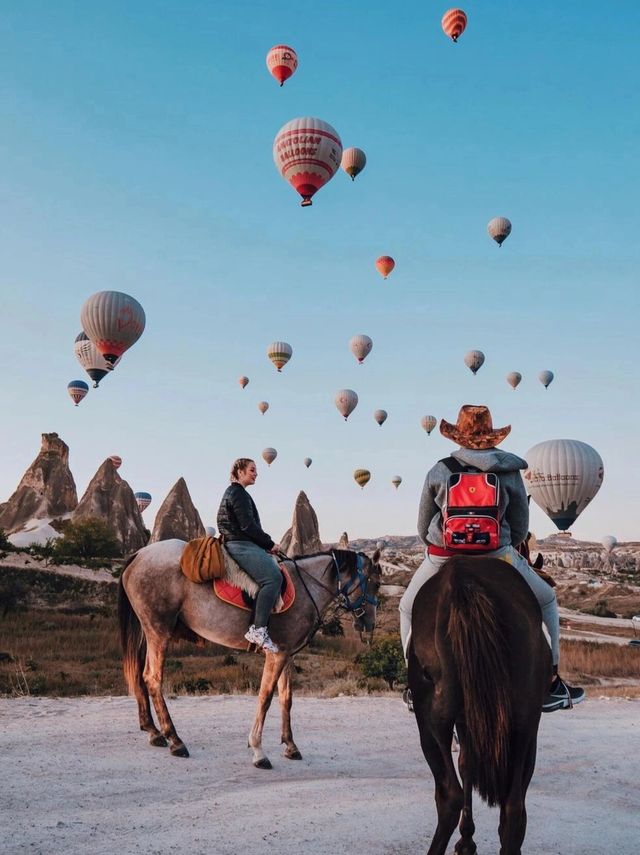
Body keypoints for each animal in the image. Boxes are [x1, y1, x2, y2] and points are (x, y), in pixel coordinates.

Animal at [117, 544, 380, 772]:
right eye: (375, 584)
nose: (369, 624)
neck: (306, 588)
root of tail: (139, 554)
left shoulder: (287, 653)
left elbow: (286, 698)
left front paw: (290, 746)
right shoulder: (277, 653)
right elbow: (265, 697)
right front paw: (258, 751)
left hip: (147, 632)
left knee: (140, 675)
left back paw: (153, 731)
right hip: (159, 632)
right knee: (153, 678)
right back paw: (174, 739)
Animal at [410, 560, 552, 852]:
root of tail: (461, 580)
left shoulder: (468, 720)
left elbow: (466, 765)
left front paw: (467, 840)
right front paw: (467, 840)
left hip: (432, 713)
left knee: (451, 793)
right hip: (522, 720)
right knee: (511, 805)